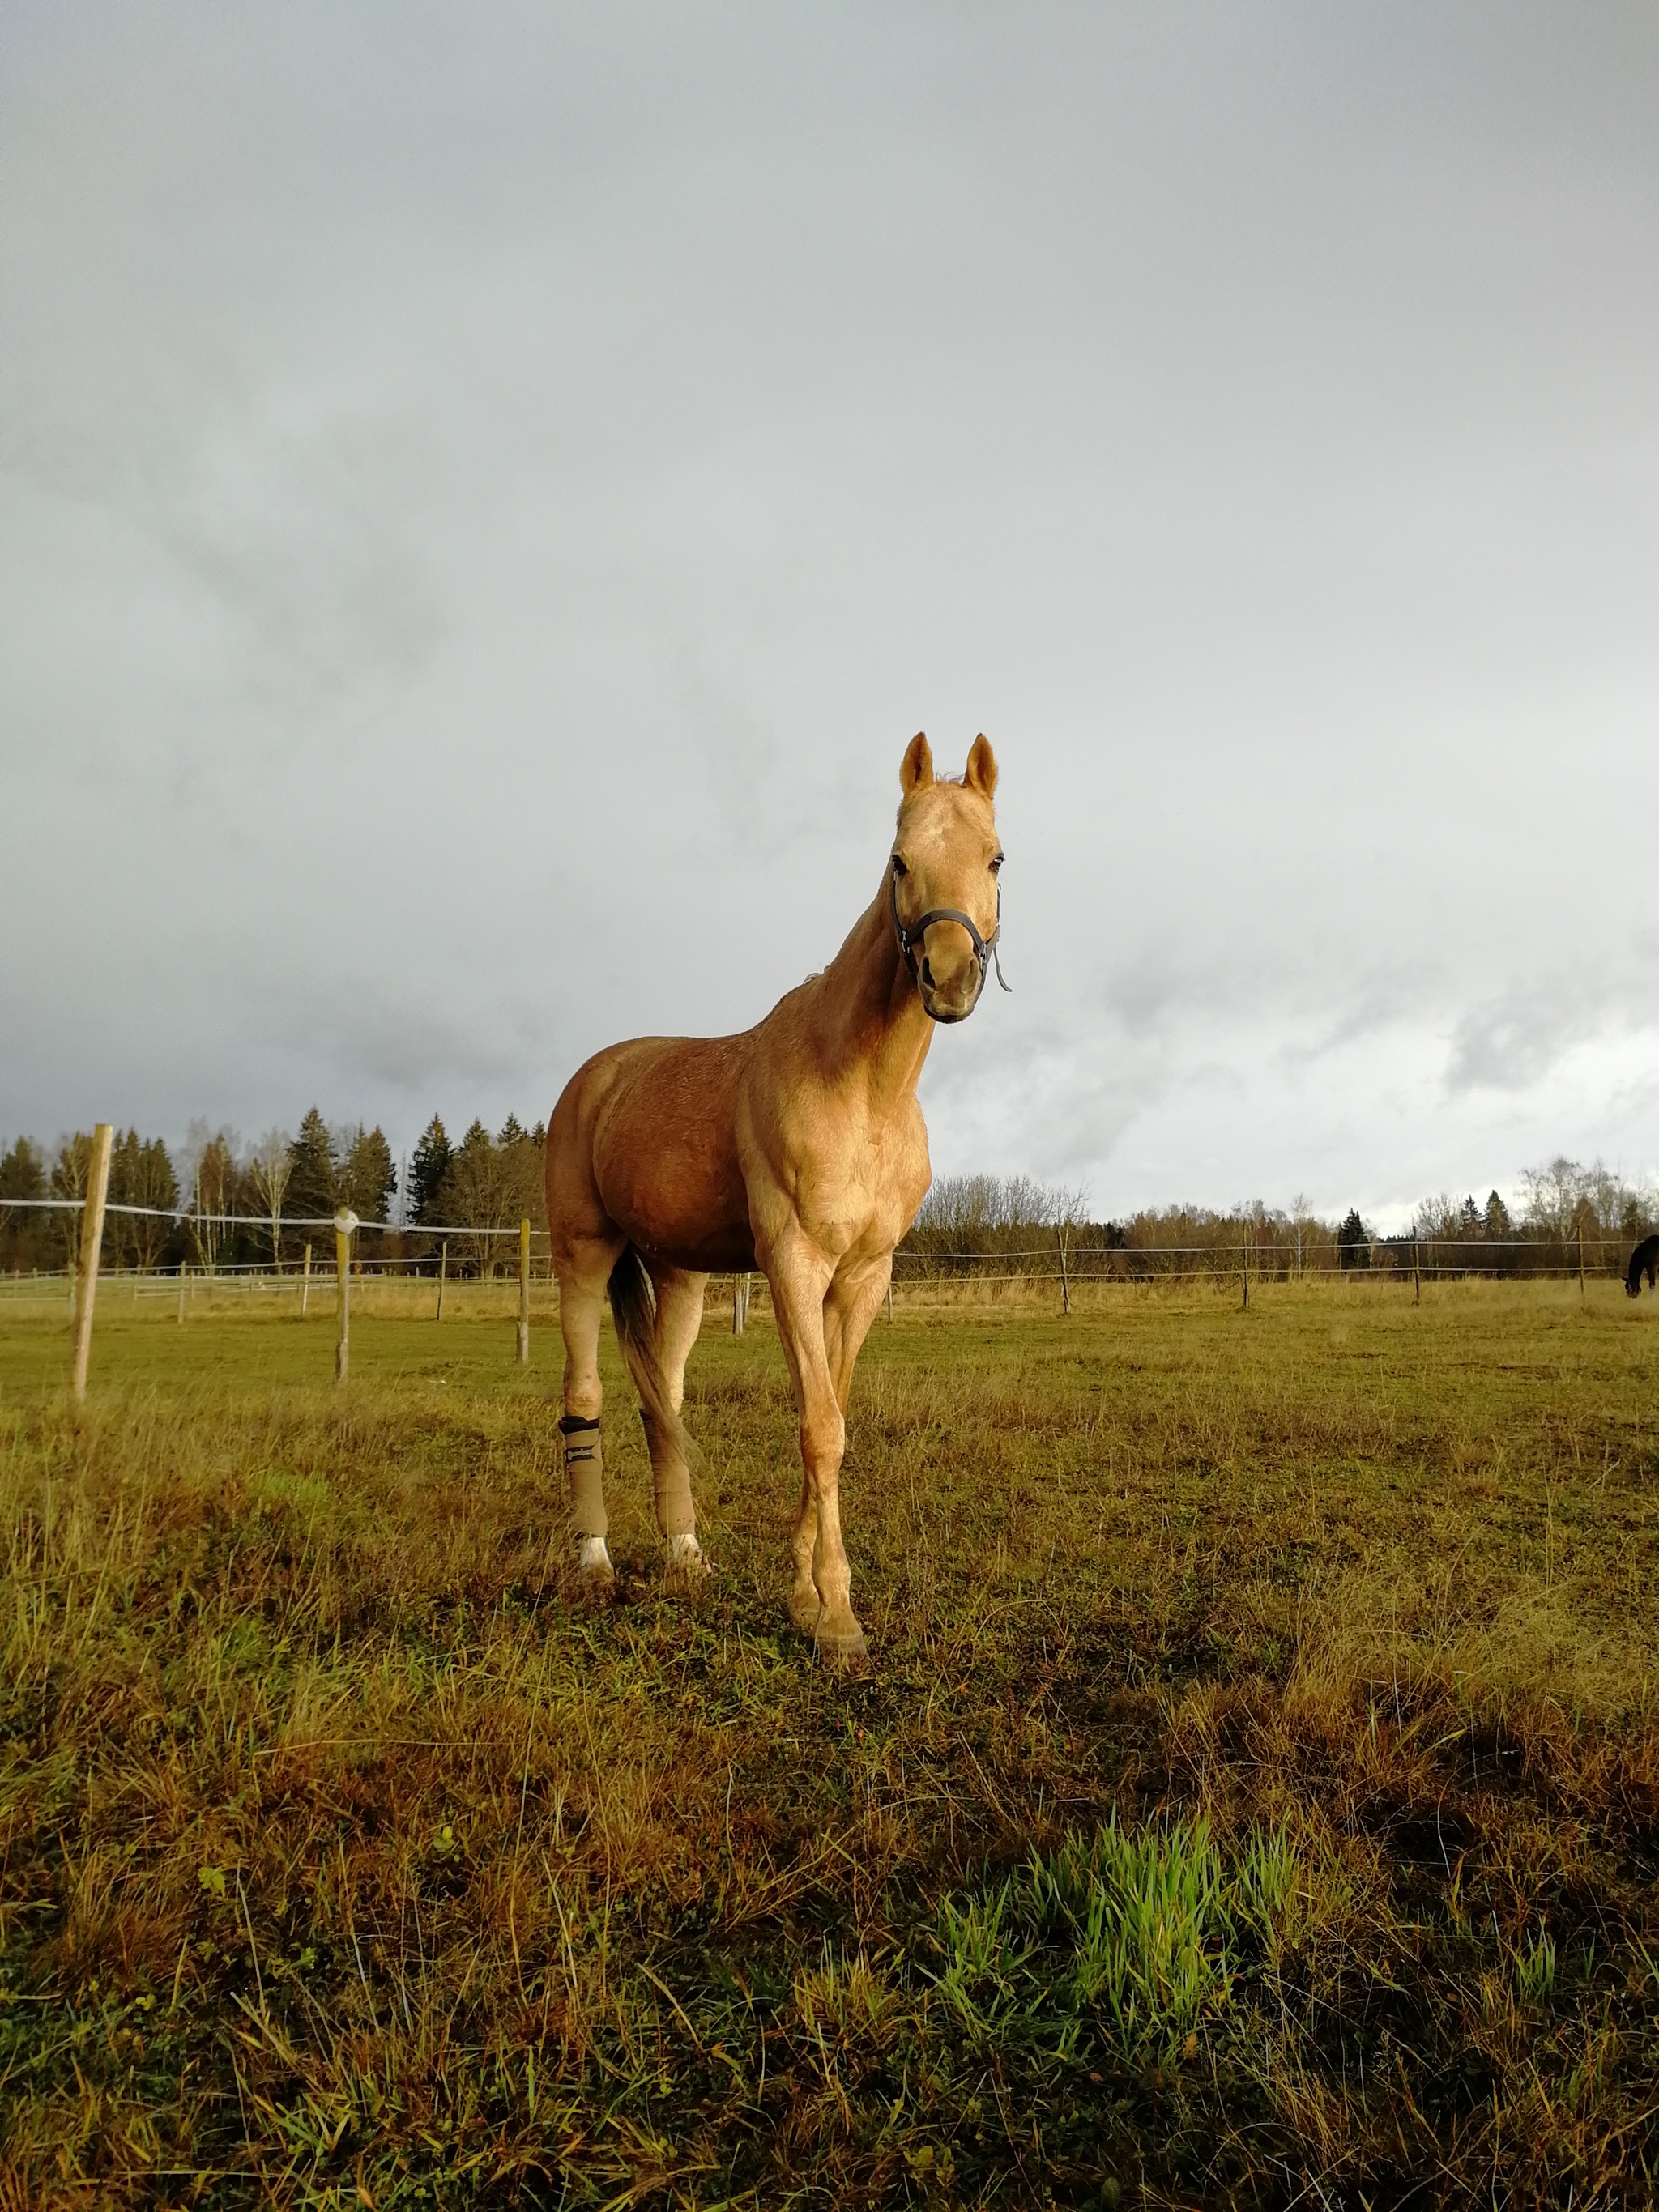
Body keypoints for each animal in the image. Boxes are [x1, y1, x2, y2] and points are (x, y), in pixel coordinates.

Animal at [552, 734, 1009, 1654]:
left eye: (995, 858)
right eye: (898, 859)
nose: (947, 978)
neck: (860, 1087)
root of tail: (594, 1079)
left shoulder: (862, 1277)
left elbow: (828, 1418)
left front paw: (805, 1596)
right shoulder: (793, 1264)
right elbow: (820, 1428)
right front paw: (835, 1618)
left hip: (680, 1277)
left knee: (662, 1403)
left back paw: (685, 1559)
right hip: (580, 1256)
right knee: (584, 1399)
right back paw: (595, 1565)